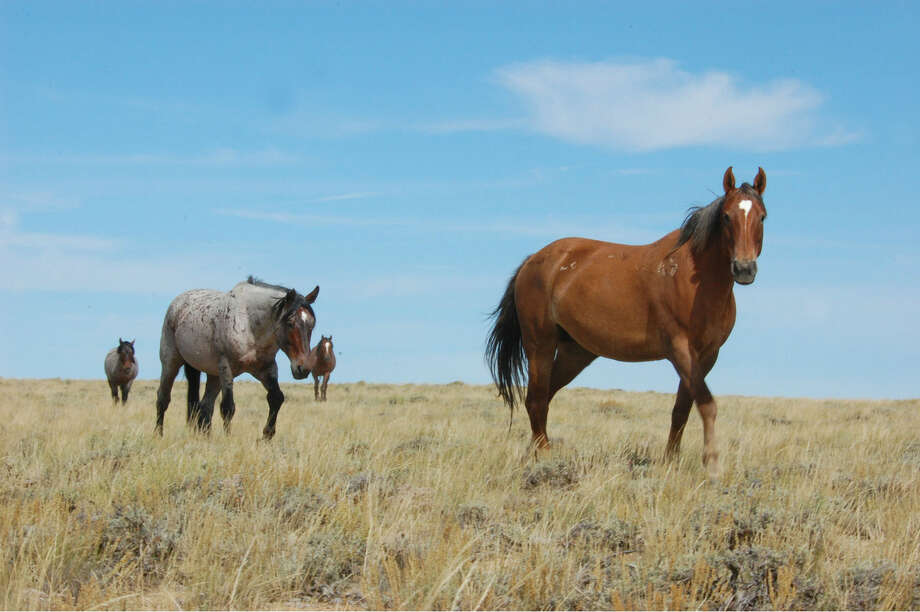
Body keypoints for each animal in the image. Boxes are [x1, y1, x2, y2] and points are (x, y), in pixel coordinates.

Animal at [155, 276, 319, 439]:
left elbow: (276, 398)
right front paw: (228, 439)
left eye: (312, 325)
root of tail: (177, 304)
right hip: (171, 363)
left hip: (214, 375)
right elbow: (228, 407)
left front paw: (267, 435)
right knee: (163, 398)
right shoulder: (227, 367)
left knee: (205, 407)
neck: (249, 324)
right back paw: (158, 434)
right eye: (290, 323)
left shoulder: (266, 369)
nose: (303, 368)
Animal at [486, 167, 767, 477]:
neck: (693, 279)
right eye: (727, 217)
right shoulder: (680, 349)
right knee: (536, 400)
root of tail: (532, 261)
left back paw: (534, 452)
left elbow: (682, 409)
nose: (744, 269)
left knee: (543, 397)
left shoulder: (707, 355)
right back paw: (545, 458)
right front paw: (713, 464)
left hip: (576, 353)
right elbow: (706, 404)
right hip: (540, 345)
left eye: (762, 216)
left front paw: (671, 460)